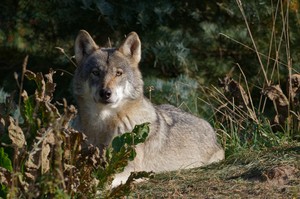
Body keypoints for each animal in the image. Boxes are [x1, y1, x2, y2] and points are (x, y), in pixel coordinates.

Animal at [72, 29, 223, 187]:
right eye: (95, 72)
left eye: (118, 73)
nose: (105, 93)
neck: (102, 127)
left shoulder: (129, 168)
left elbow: (102, 179)